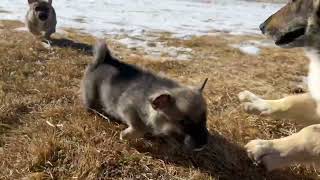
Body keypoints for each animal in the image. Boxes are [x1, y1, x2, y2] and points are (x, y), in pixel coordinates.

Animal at [81, 40, 209, 151]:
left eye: (204, 119)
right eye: (183, 123)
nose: (203, 144)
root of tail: (105, 59)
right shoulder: (128, 108)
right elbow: (139, 128)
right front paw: (125, 135)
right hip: (91, 94)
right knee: (91, 107)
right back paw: (103, 115)